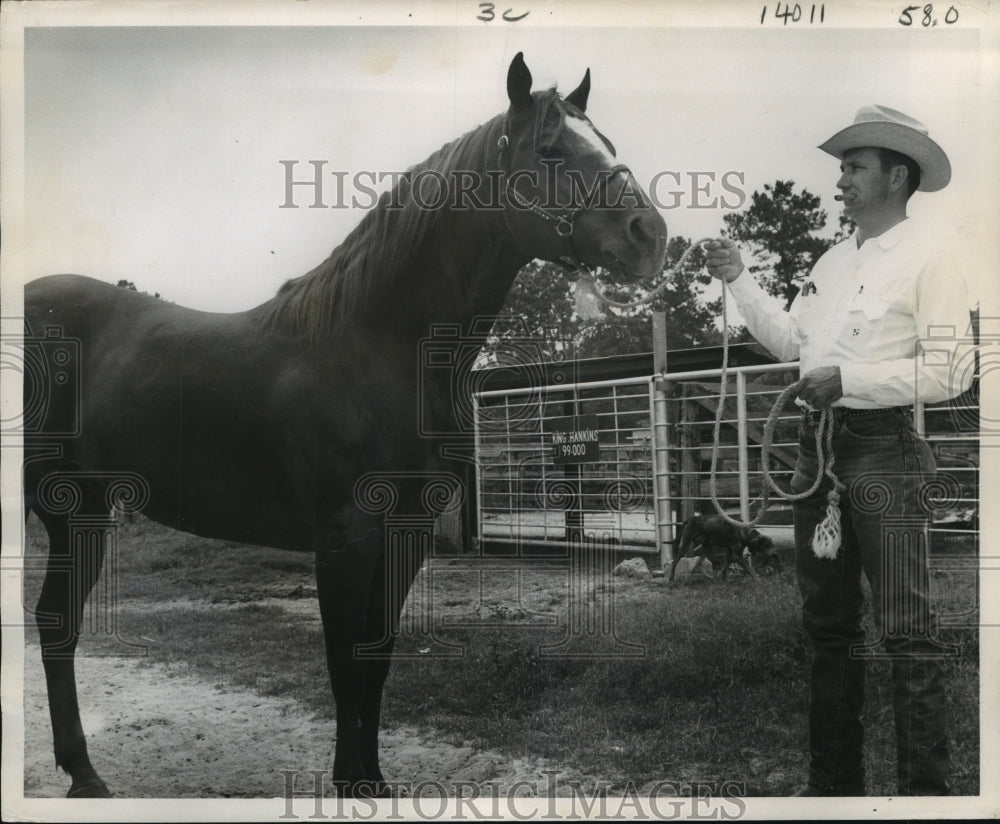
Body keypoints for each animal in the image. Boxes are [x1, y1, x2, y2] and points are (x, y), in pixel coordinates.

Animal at [23, 53, 668, 800]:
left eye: (607, 144)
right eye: (551, 150)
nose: (650, 235)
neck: (375, 343)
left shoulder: (406, 536)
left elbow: (377, 655)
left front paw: (374, 780)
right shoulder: (345, 539)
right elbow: (343, 662)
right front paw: (347, 782)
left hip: (84, 511)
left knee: (57, 622)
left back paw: (83, 771)